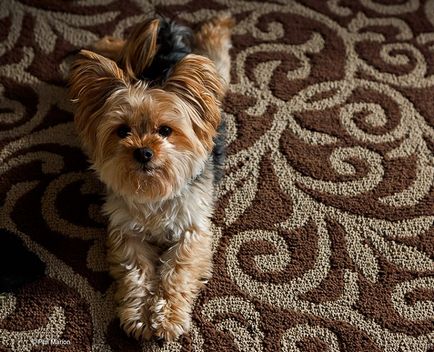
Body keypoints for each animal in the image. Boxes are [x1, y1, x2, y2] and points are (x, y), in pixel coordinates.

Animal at [68, 15, 234, 342]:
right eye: (122, 131)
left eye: (165, 130)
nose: (143, 152)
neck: (153, 192)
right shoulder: (125, 231)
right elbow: (135, 273)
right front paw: (139, 317)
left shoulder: (192, 230)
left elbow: (178, 271)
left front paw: (167, 318)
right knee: (123, 52)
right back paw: (104, 44)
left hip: (215, 78)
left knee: (216, 54)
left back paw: (217, 26)